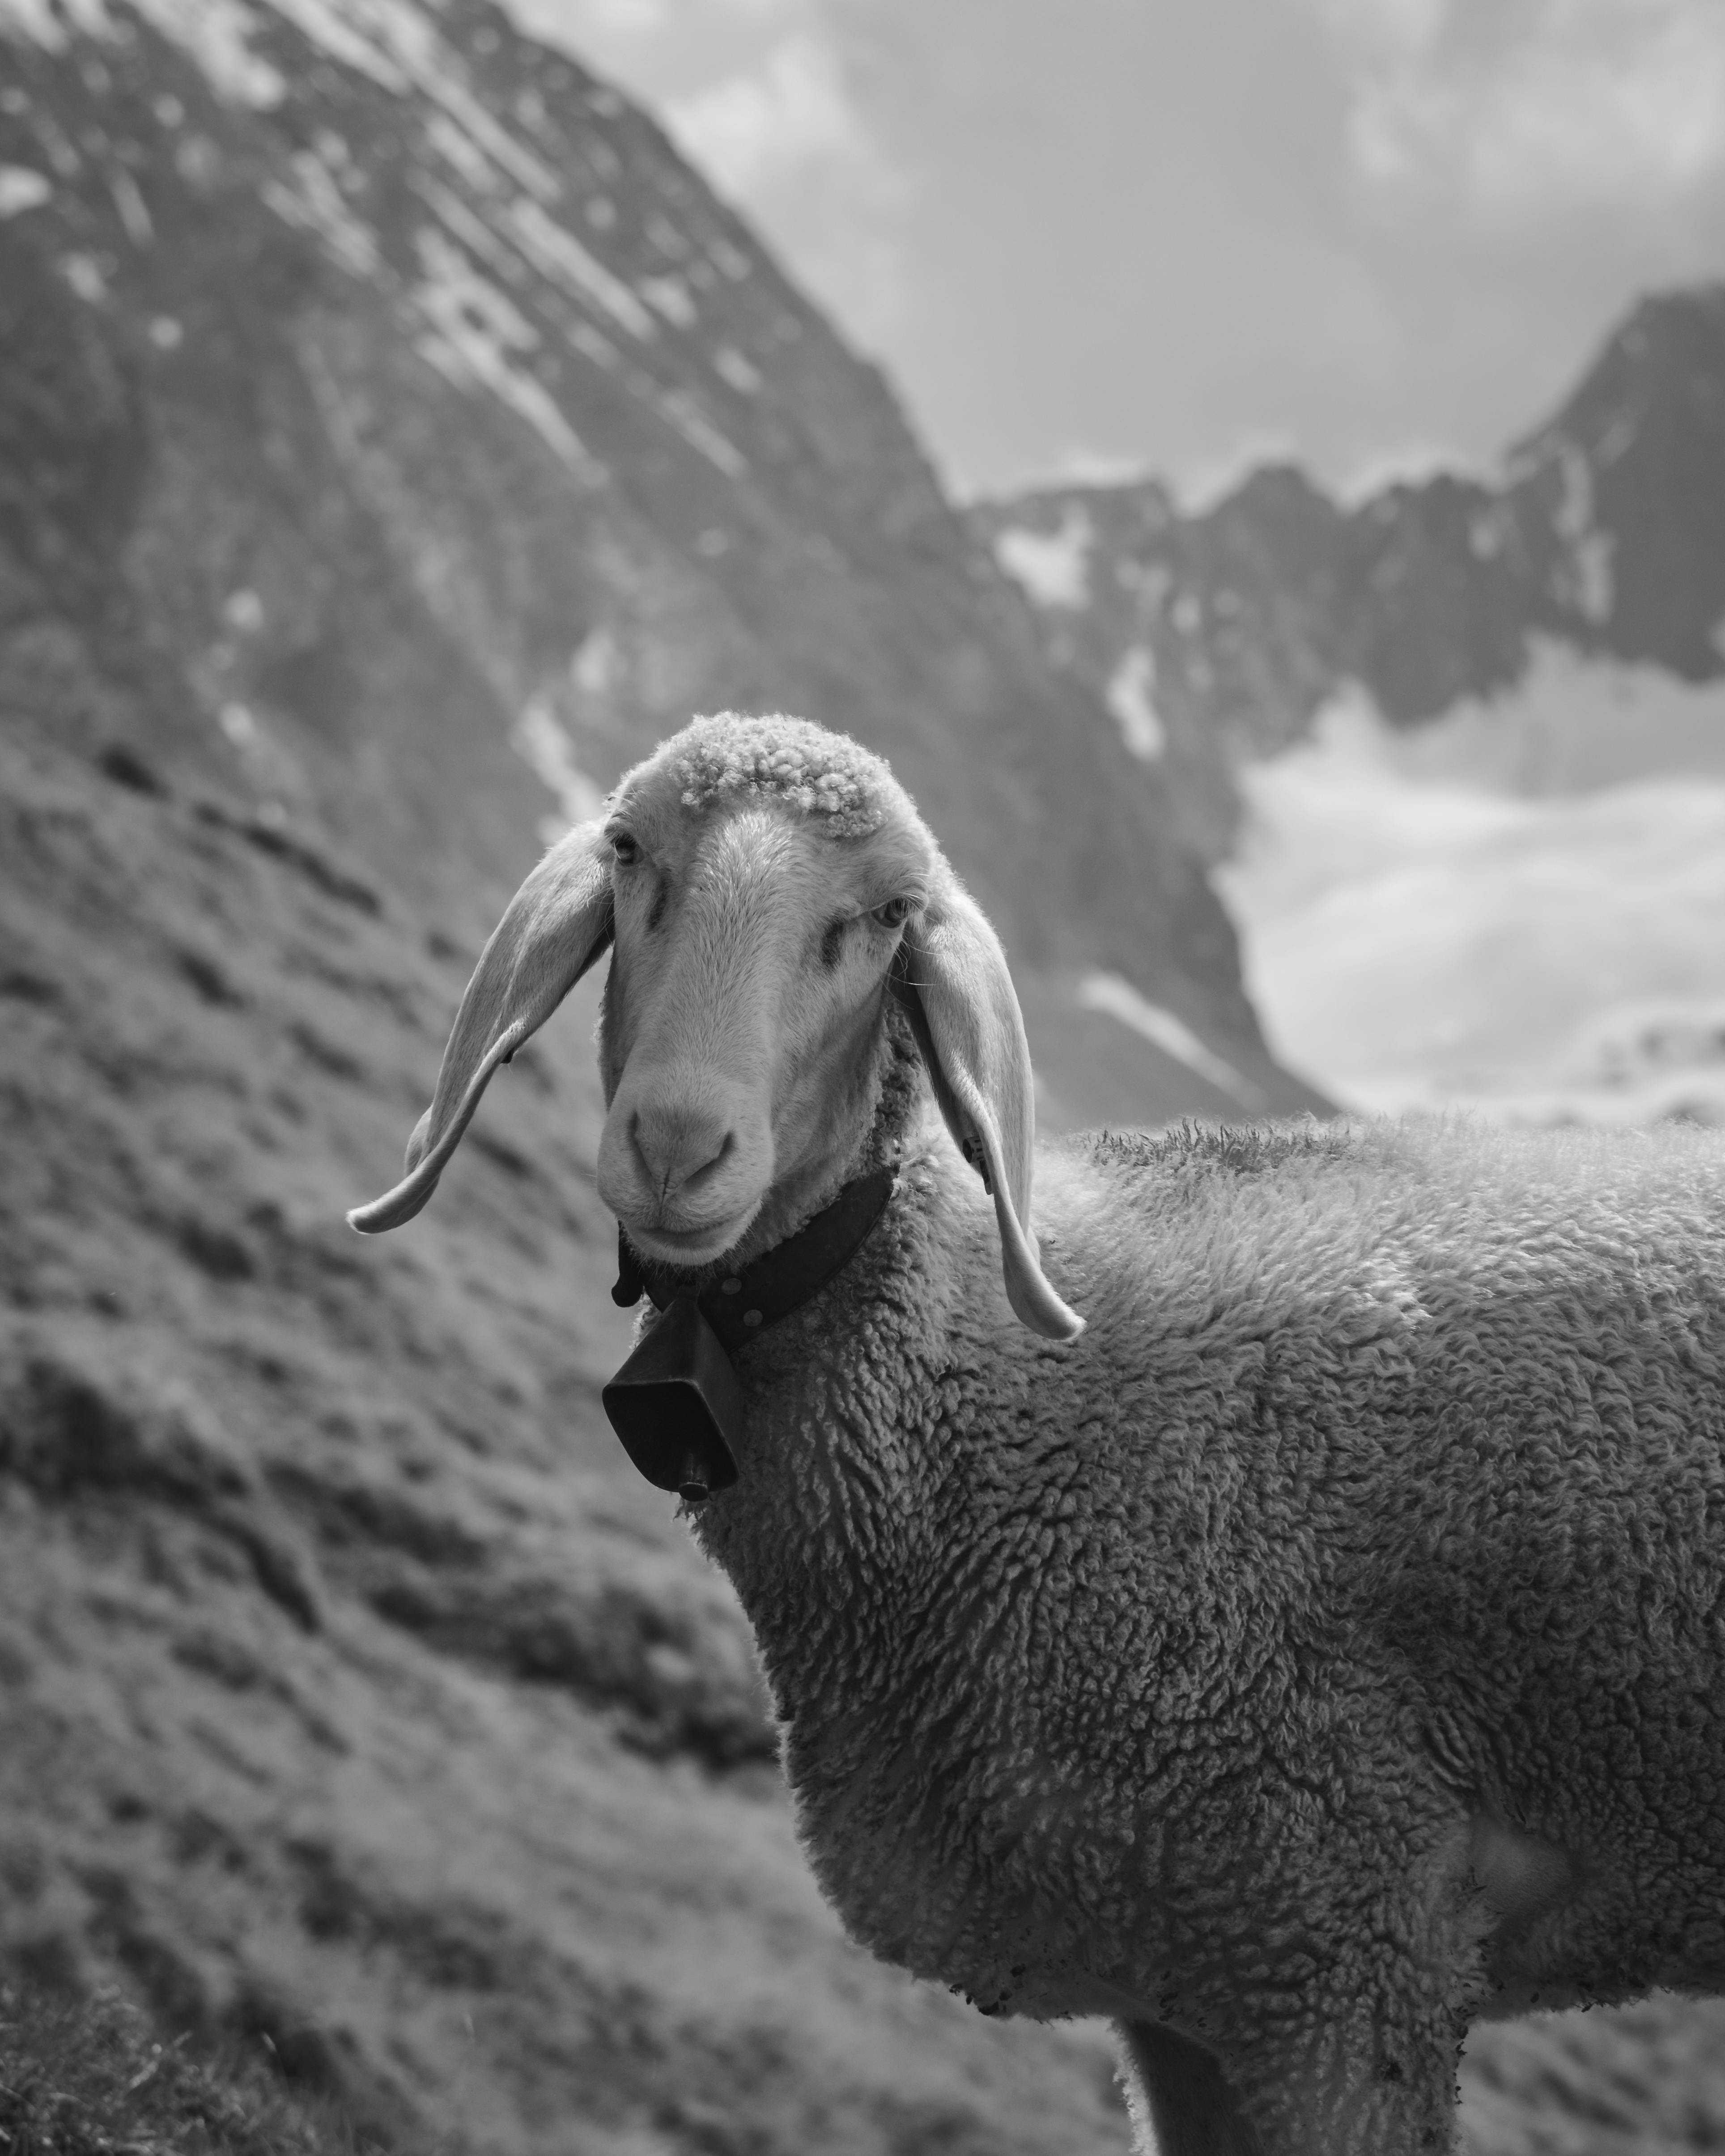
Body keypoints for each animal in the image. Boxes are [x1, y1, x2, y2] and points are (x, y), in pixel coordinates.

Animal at [350, 711, 1725, 2156]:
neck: (986, 1401)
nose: (675, 1144)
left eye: (884, 915)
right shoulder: (1185, 1988)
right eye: (625, 852)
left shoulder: (1339, 1946)